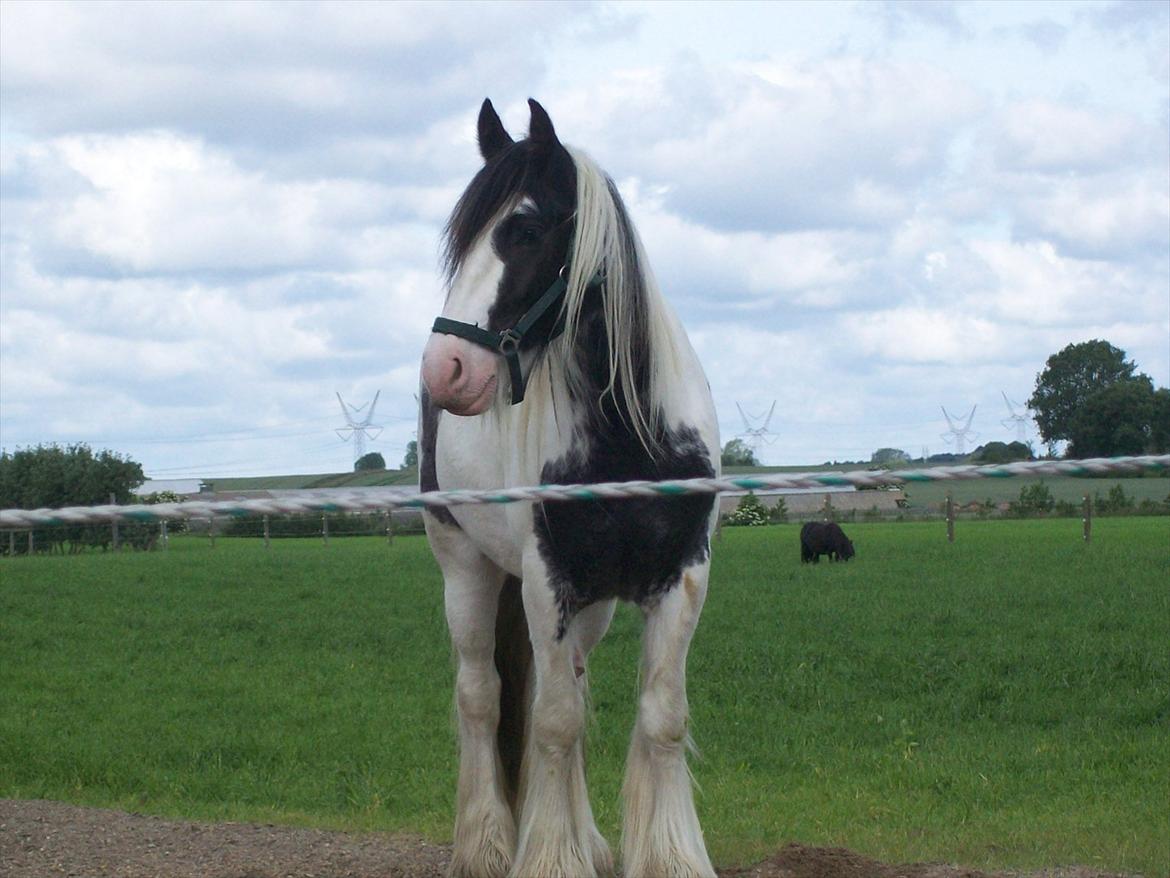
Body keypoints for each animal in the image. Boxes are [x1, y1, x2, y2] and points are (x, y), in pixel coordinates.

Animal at [416, 97, 716, 878]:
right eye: (460, 241)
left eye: (522, 229)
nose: (445, 369)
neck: (627, 436)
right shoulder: (546, 581)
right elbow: (550, 724)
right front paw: (550, 859)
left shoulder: (681, 578)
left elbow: (661, 717)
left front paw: (667, 857)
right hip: (468, 571)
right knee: (484, 698)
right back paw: (488, 844)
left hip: (592, 606)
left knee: (569, 688)